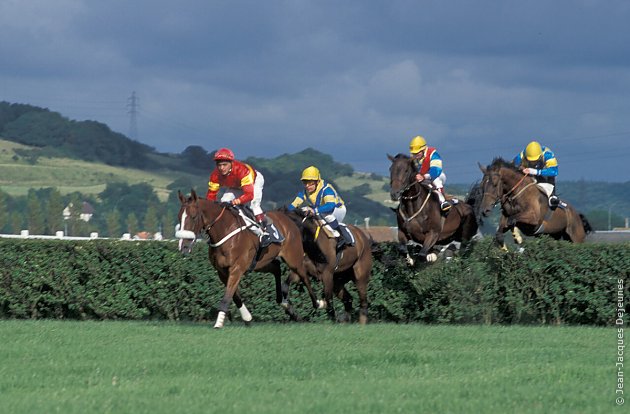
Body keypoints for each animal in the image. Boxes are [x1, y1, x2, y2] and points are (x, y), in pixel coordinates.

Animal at [178, 189, 324, 328]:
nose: (183, 246)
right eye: (179, 218)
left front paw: (218, 323)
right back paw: (285, 304)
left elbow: (227, 297)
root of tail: (286, 216)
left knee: (304, 275)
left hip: (293, 258)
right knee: (276, 268)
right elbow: (235, 296)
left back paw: (318, 303)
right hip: (261, 262)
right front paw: (247, 318)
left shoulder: (237, 268)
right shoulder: (222, 271)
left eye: (193, 216)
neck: (225, 230)